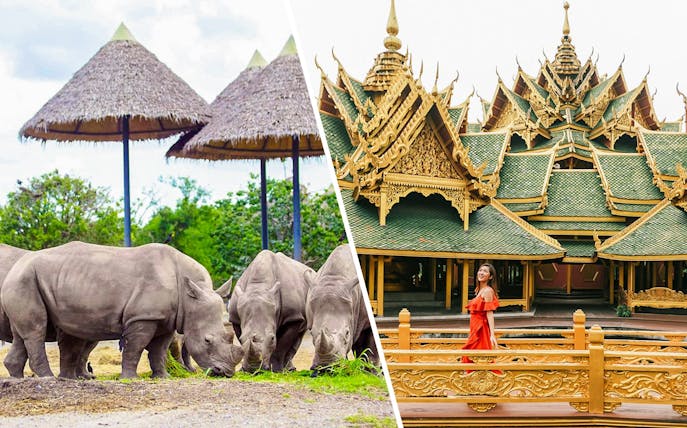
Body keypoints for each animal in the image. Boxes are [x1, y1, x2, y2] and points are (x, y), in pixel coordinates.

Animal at [1, 242, 243, 378]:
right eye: (207, 341)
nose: (226, 373)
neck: (188, 297)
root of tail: (18, 266)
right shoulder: (143, 317)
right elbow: (136, 347)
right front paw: (130, 378)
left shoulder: (167, 319)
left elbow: (159, 350)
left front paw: (162, 377)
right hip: (25, 279)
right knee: (36, 330)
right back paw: (48, 379)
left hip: (27, 281)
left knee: (23, 333)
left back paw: (17, 378)